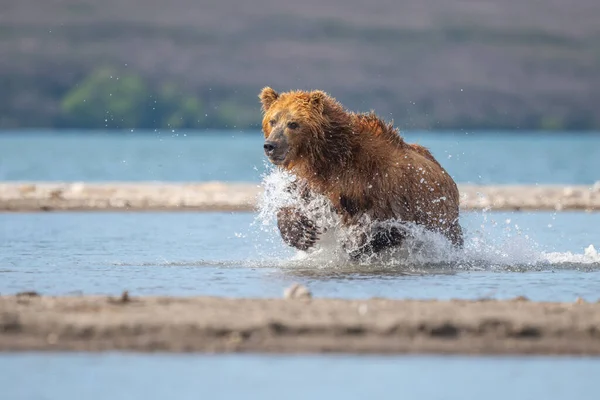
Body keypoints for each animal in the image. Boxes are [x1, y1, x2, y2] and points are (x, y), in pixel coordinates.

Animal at [258, 86, 464, 258]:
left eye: (293, 124)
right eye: (273, 120)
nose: (270, 145)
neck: (331, 157)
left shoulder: (380, 186)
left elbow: (388, 227)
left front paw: (357, 245)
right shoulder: (316, 183)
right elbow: (297, 202)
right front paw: (302, 232)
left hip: (442, 217)